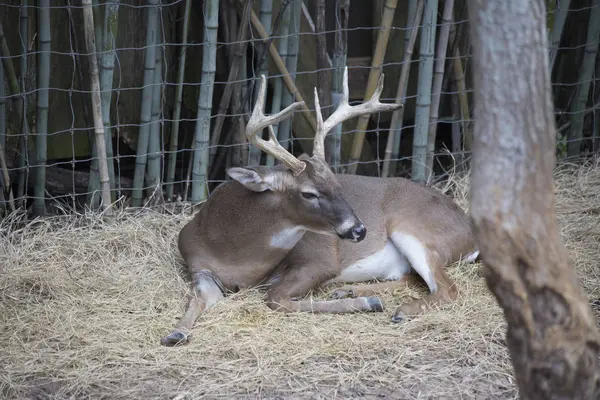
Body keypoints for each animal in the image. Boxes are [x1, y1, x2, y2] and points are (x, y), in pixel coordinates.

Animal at [161, 67, 478, 346]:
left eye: (337, 183)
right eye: (309, 194)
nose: (360, 230)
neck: (237, 254)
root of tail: (470, 232)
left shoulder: (321, 259)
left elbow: (276, 298)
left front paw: (368, 303)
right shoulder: (201, 268)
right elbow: (196, 299)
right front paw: (175, 333)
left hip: (414, 229)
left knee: (447, 288)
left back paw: (398, 309)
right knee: (409, 277)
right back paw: (348, 290)